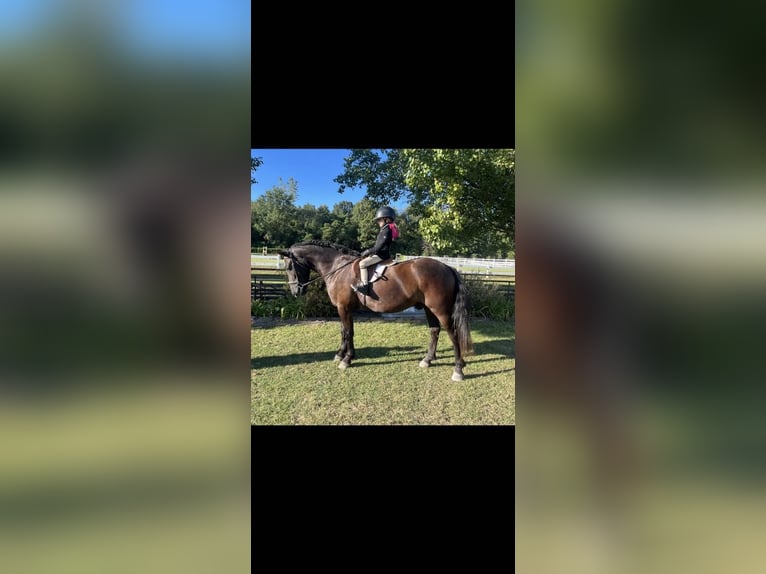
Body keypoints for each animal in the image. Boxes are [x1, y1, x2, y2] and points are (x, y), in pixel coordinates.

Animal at [278, 240, 474, 381]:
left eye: (289, 266)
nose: (296, 292)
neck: (337, 267)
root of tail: (447, 267)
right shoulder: (345, 309)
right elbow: (346, 331)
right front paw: (342, 354)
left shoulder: (343, 308)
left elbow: (347, 332)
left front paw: (346, 360)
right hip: (428, 308)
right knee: (434, 330)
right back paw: (427, 360)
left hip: (440, 310)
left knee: (452, 333)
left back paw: (458, 369)